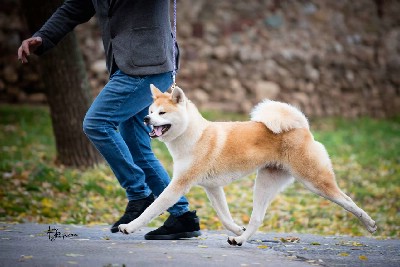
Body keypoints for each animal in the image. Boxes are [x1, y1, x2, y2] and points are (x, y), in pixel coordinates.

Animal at [117, 85, 376, 246]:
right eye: (150, 111)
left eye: (162, 113)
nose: (146, 119)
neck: (195, 136)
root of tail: (302, 127)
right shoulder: (212, 188)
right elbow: (224, 217)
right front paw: (237, 230)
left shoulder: (178, 185)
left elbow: (153, 208)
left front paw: (129, 226)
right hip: (264, 184)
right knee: (257, 218)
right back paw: (241, 240)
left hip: (315, 182)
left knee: (347, 200)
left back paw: (370, 223)